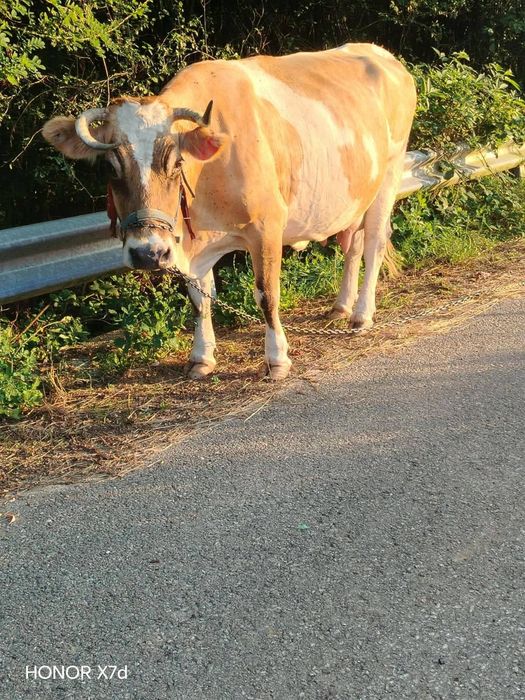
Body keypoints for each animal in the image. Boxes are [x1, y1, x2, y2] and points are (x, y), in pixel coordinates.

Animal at [42, 43, 416, 380]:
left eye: (176, 163)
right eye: (110, 167)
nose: (148, 253)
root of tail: (384, 56)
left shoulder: (267, 226)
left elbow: (266, 294)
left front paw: (277, 359)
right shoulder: (192, 244)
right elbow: (199, 298)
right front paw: (201, 357)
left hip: (389, 175)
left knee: (374, 243)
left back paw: (362, 314)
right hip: (356, 197)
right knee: (353, 245)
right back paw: (341, 306)